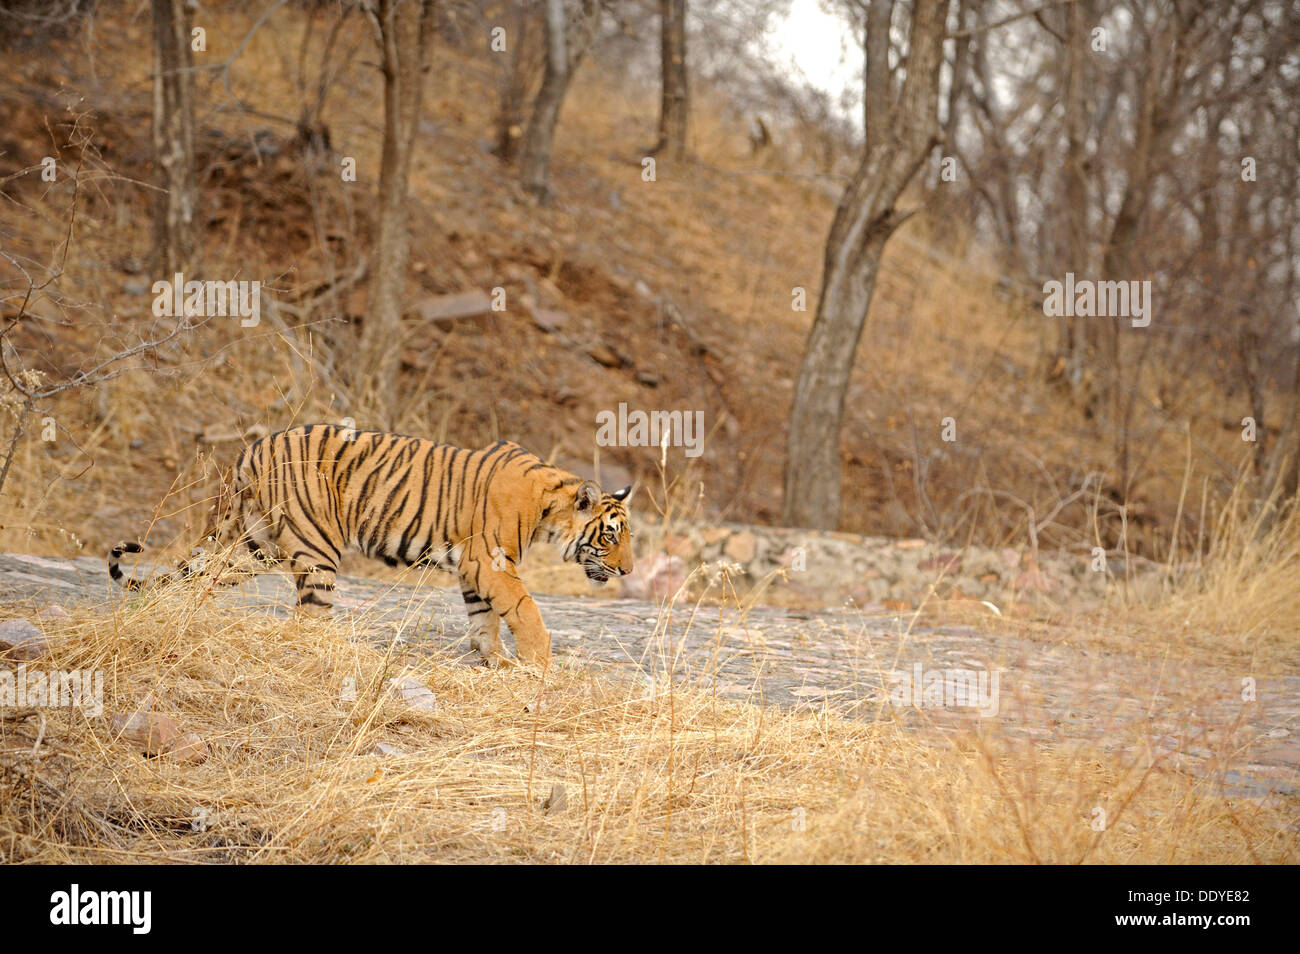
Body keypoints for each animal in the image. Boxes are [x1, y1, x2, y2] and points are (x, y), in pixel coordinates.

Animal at [109, 421, 637, 670]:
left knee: (197, 581)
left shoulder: (474, 569)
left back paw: (176, 622)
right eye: (609, 535)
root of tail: (251, 450)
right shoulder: (491, 562)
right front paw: (540, 665)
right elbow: (526, 612)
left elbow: (484, 618)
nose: (629, 571)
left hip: (252, 544)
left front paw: (496, 662)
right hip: (316, 548)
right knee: (307, 619)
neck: (550, 509)